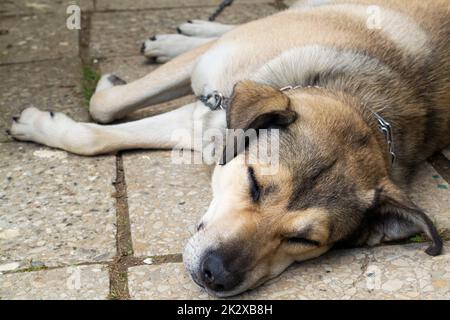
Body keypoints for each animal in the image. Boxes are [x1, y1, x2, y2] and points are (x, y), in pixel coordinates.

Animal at [7, 0, 450, 296]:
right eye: (254, 183)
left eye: (305, 241)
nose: (215, 276)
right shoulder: (206, 79)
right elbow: (103, 108)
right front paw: (81, 99)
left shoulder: (198, 123)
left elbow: (98, 129)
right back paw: (182, 36)